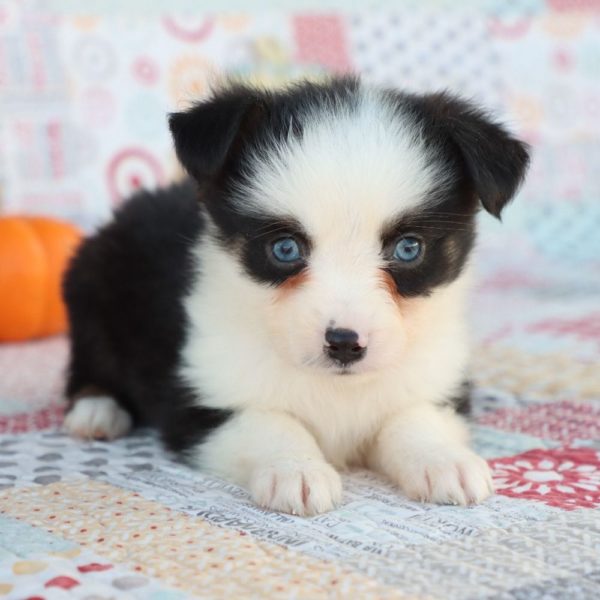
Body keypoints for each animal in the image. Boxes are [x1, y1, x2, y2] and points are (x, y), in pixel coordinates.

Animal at [62, 75, 528, 516]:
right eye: (285, 249)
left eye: (408, 248)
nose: (344, 344)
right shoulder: (203, 399)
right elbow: (272, 422)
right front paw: (297, 471)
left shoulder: (436, 378)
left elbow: (413, 417)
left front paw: (444, 461)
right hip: (90, 289)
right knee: (89, 365)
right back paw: (96, 410)